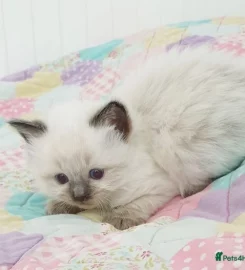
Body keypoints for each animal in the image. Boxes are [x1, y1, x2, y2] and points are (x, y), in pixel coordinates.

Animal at [9, 47, 245, 229]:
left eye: (96, 174)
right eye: (61, 178)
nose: (80, 195)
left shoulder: (160, 186)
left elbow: (134, 205)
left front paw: (119, 219)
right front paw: (60, 206)